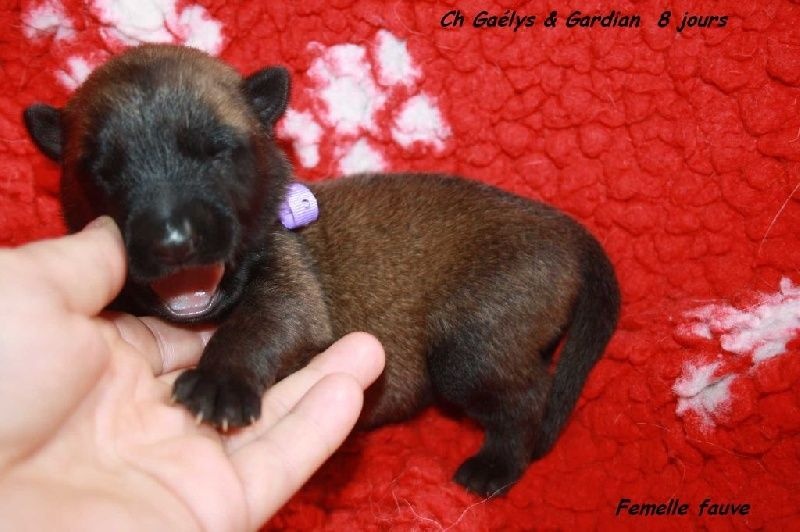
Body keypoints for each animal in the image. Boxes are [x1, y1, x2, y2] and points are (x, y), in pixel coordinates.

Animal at [23, 44, 620, 496]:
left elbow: (254, 328)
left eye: (217, 152)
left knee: (527, 398)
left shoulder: (291, 293)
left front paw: (219, 382)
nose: (173, 241)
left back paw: (495, 466)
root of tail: (567, 231)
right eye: (103, 170)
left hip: (474, 341)